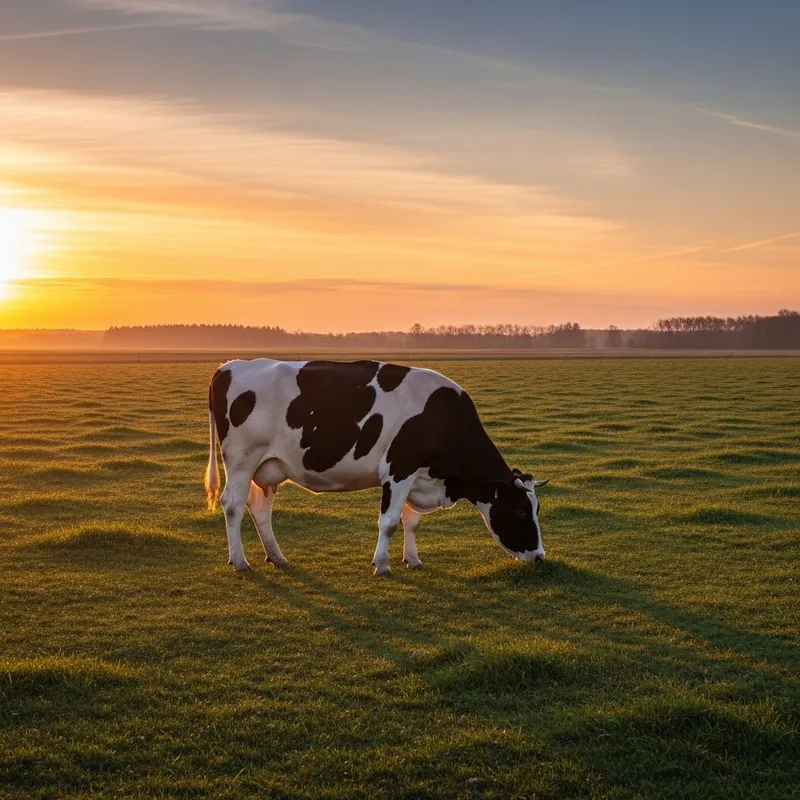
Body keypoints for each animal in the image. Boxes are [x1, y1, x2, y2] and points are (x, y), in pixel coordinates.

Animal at [204, 359, 548, 575]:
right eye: (521, 511)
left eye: (537, 509)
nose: (541, 557)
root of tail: (230, 365)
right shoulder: (398, 471)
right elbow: (391, 522)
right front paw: (382, 564)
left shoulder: (418, 478)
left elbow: (412, 521)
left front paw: (413, 559)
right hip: (241, 459)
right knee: (232, 504)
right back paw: (240, 561)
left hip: (267, 465)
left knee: (259, 507)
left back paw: (277, 557)